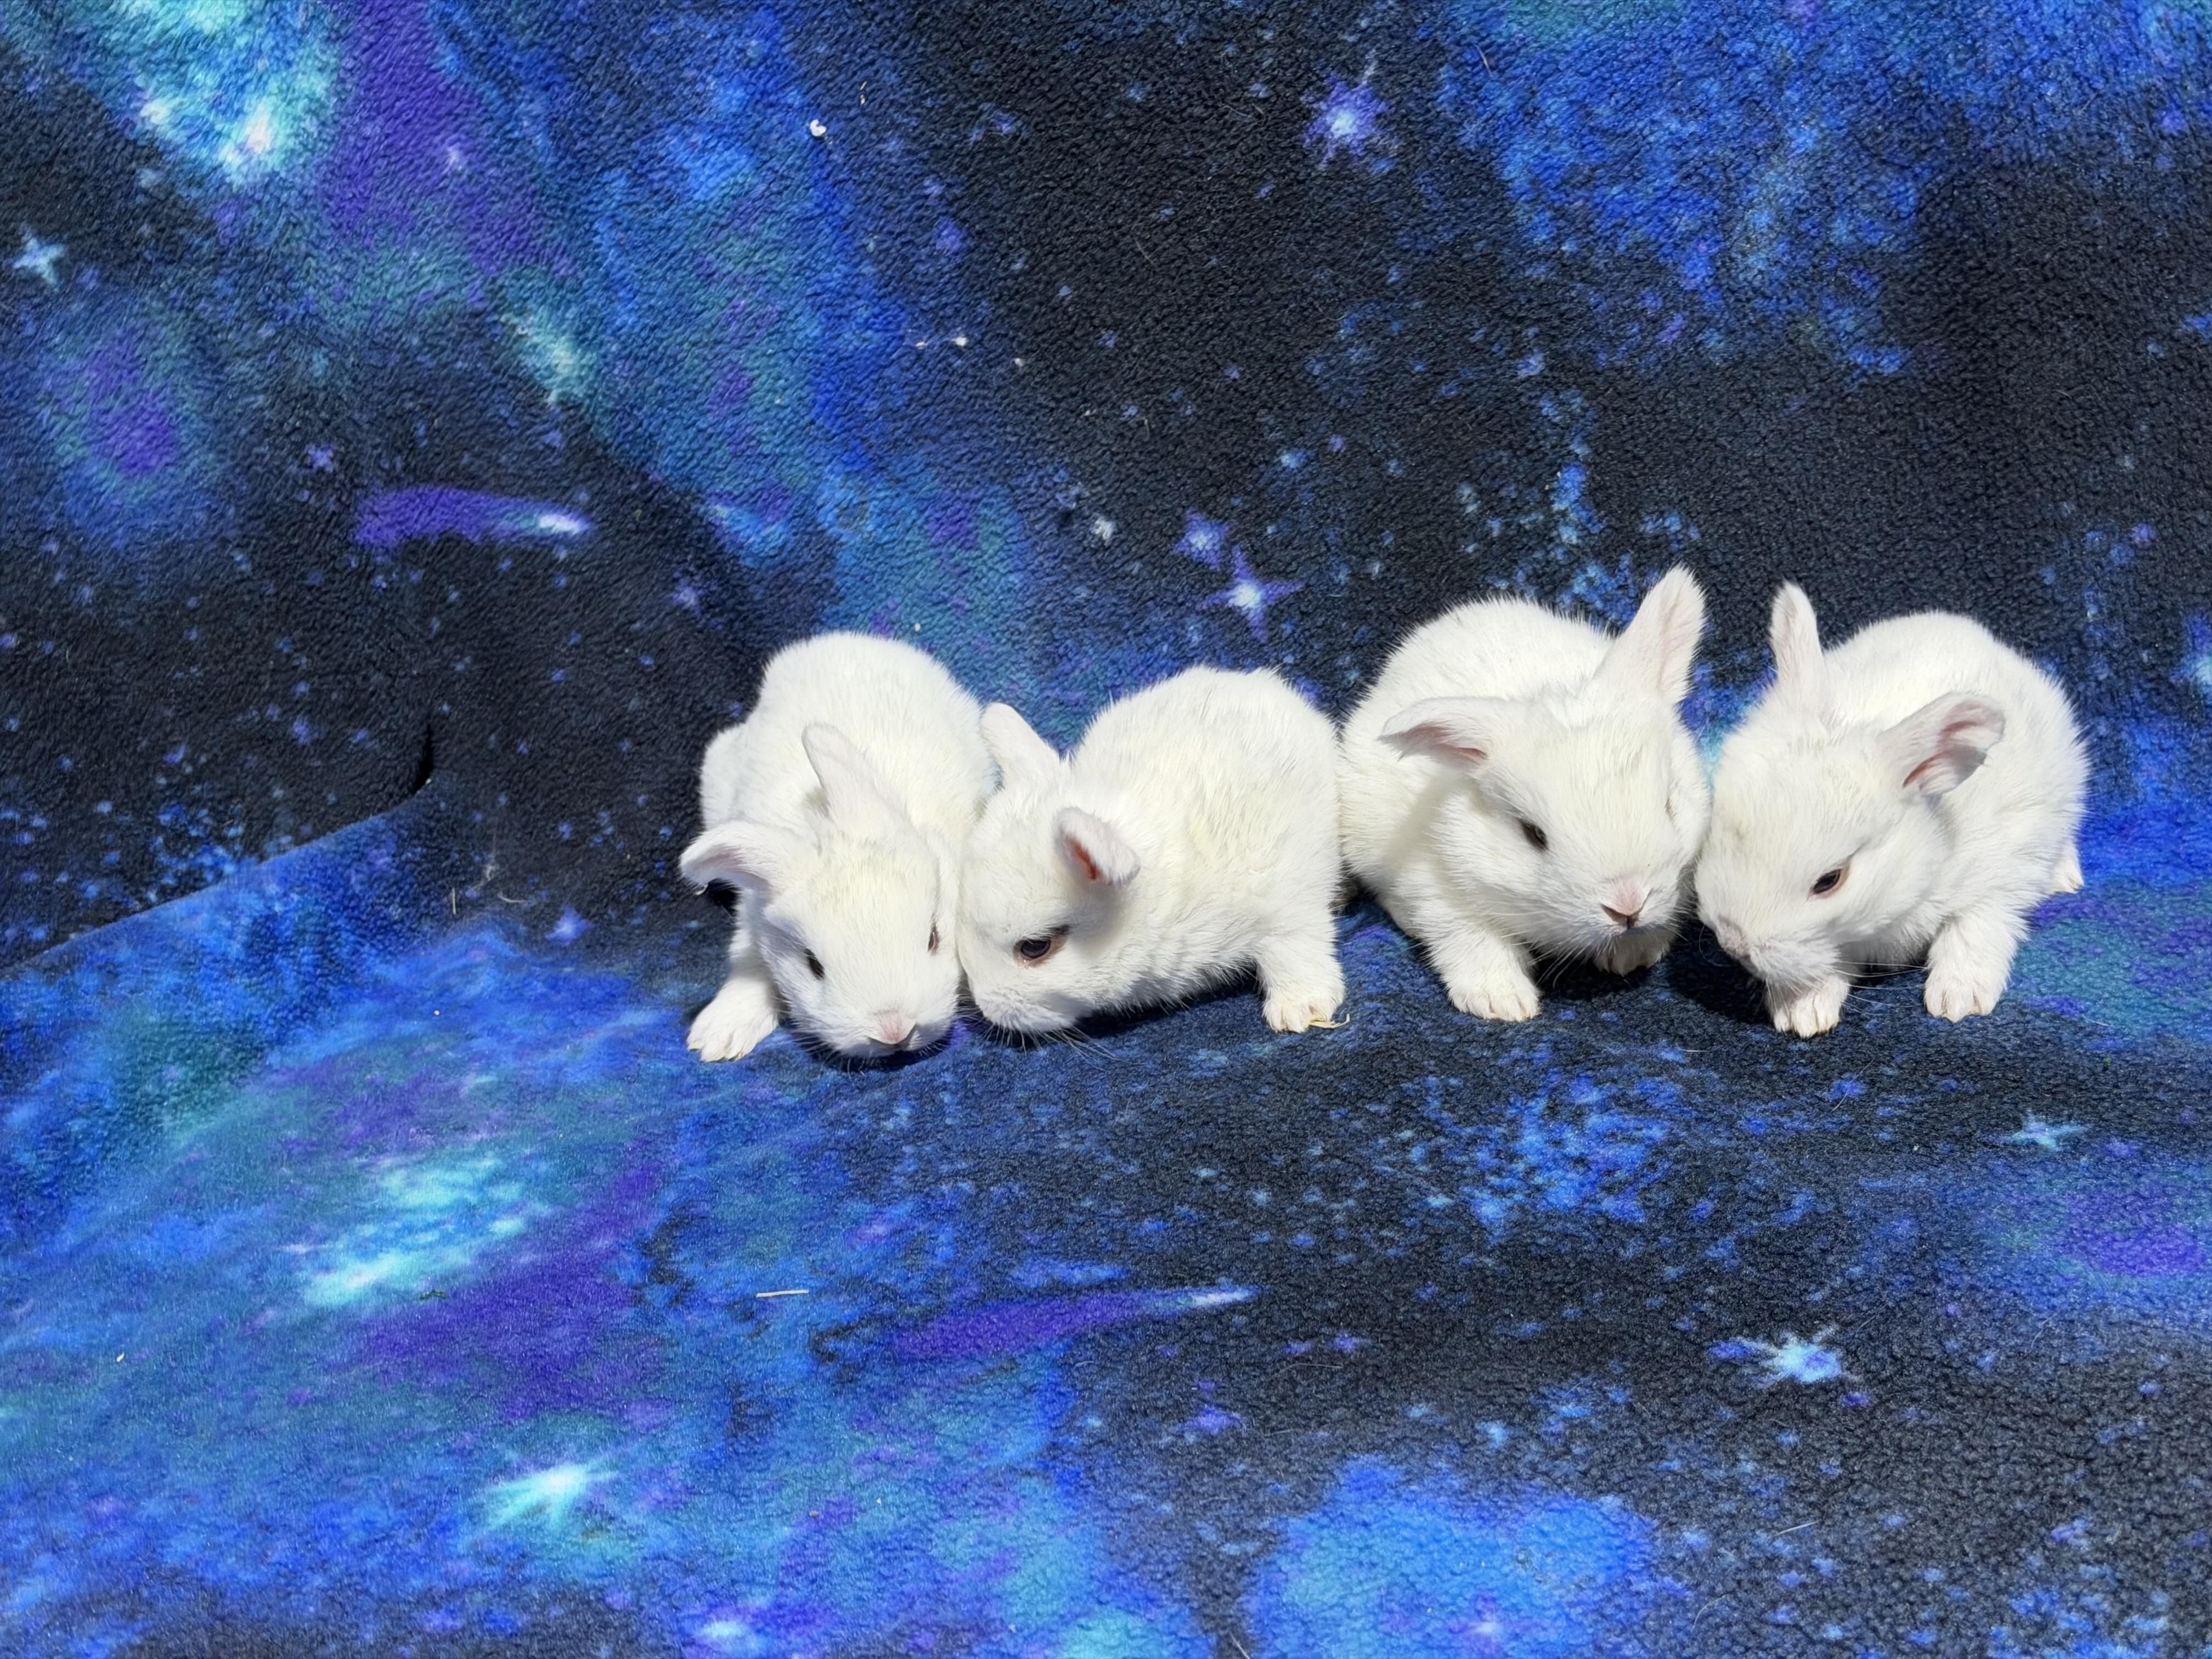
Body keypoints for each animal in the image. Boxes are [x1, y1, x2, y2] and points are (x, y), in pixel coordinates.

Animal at [677, 632, 992, 1062]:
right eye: (813, 965)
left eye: (933, 938)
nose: (894, 1030)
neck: (818, 817)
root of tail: (840, 640)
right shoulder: (751, 912)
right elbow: (750, 964)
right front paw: (718, 1035)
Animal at [958, 666, 1346, 1036]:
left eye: (1036, 947)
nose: (987, 1008)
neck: (1153, 899)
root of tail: (1260, 682)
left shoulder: (1287, 900)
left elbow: (1294, 948)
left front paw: (1301, 1010)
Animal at [1337, 566, 1711, 1021]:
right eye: (1534, 835)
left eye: (1670, 805)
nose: (1628, 905)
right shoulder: (1437, 889)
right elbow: (1470, 940)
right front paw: (1502, 1001)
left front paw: (1633, 955)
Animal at [1696, 583, 2087, 1037]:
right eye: (1716, 829)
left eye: (1830, 880)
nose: (1734, 942)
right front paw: (1803, 1013)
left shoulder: (2001, 877)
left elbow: (1974, 931)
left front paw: (1958, 1000)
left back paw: (2065, 877)